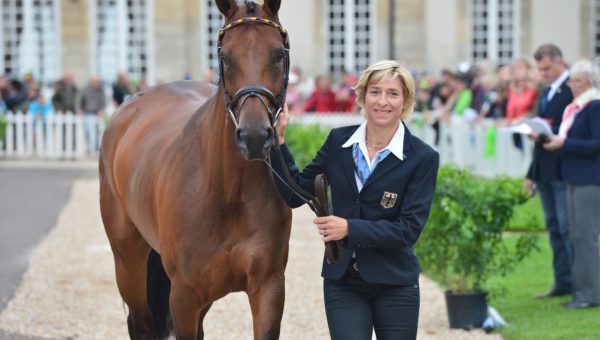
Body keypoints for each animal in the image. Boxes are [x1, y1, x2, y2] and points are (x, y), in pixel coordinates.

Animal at [99, 1, 292, 338]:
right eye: (225, 56)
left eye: (278, 53)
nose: (254, 137)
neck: (229, 191)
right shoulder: (184, 295)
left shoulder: (268, 286)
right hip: (128, 261)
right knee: (140, 321)